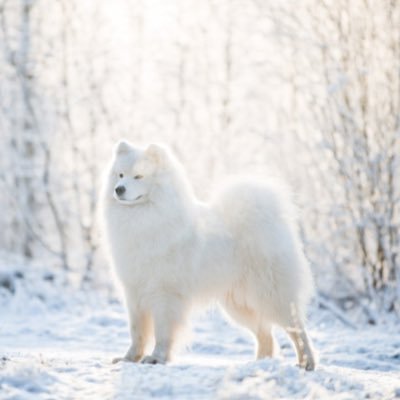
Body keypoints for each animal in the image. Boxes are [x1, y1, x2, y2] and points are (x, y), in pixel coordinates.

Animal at [101, 141, 316, 372]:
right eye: (120, 174)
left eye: (138, 176)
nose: (119, 189)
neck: (143, 217)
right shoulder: (134, 292)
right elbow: (137, 332)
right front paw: (129, 358)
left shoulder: (165, 293)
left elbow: (162, 331)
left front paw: (156, 358)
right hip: (239, 305)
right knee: (265, 334)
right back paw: (259, 363)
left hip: (271, 296)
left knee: (297, 329)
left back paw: (307, 362)